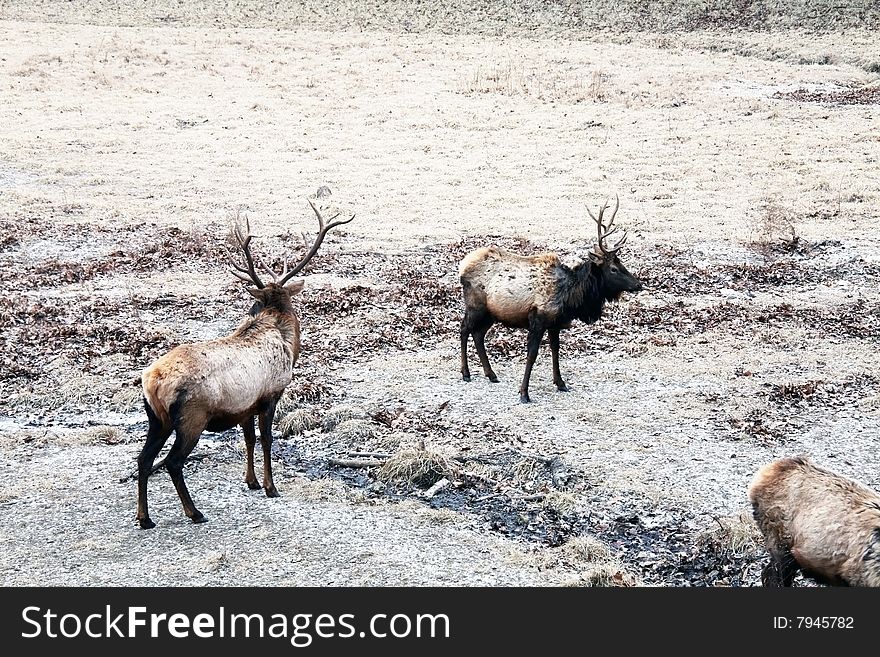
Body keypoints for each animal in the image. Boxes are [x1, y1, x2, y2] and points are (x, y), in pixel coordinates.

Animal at [135, 196, 354, 528]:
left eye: (258, 301)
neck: (286, 341)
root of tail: (153, 381)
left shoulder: (244, 405)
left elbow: (248, 440)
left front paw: (250, 481)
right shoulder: (270, 395)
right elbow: (266, 440)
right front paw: (270, 487)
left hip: (156, 418)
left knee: (143, 458)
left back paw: (145, 518)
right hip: (191, 418)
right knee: (172, 462)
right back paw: (194, 512)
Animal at [460, 192, 640, 402]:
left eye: (621, 264)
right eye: (613, 268)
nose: (638, 284)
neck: (571, 298)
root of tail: (462, 267)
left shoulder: (555, 323)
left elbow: (555, 351)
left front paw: (561, 383)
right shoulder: (538, 319)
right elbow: (532, 354)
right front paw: (524, 393)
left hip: (492, 313)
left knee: (478, 334)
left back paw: (491, 374)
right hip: (475, 306)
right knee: (464, 329)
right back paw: (466, 373)